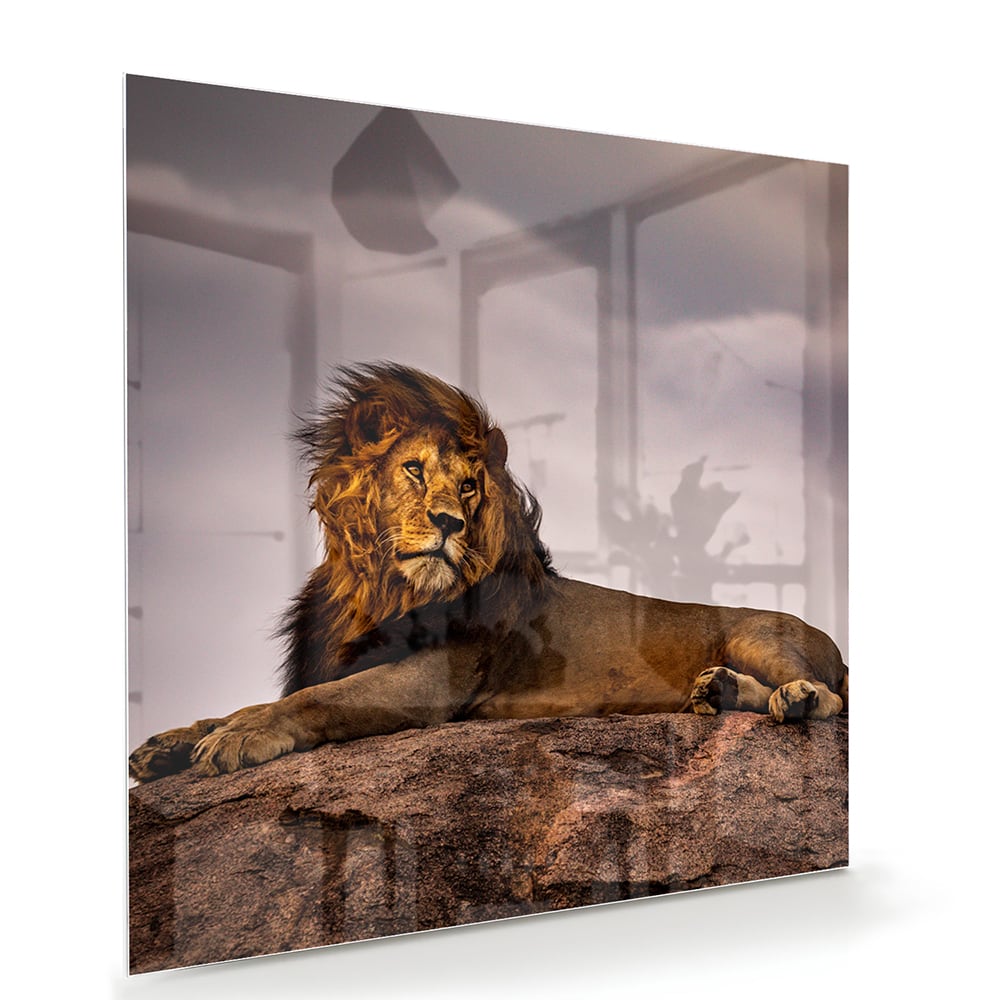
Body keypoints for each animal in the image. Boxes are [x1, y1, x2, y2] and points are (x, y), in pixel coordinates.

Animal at [129, 362, 848, 782]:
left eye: (471, 486)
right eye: (414, 470)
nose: (449, 522)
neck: (379, 589)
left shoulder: (432, 681)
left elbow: (316, 700)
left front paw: (242, 736)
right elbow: (247, 702)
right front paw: (170, 742)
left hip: (758, 632)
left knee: (833, 702)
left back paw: (794, 697)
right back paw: (720, 692)